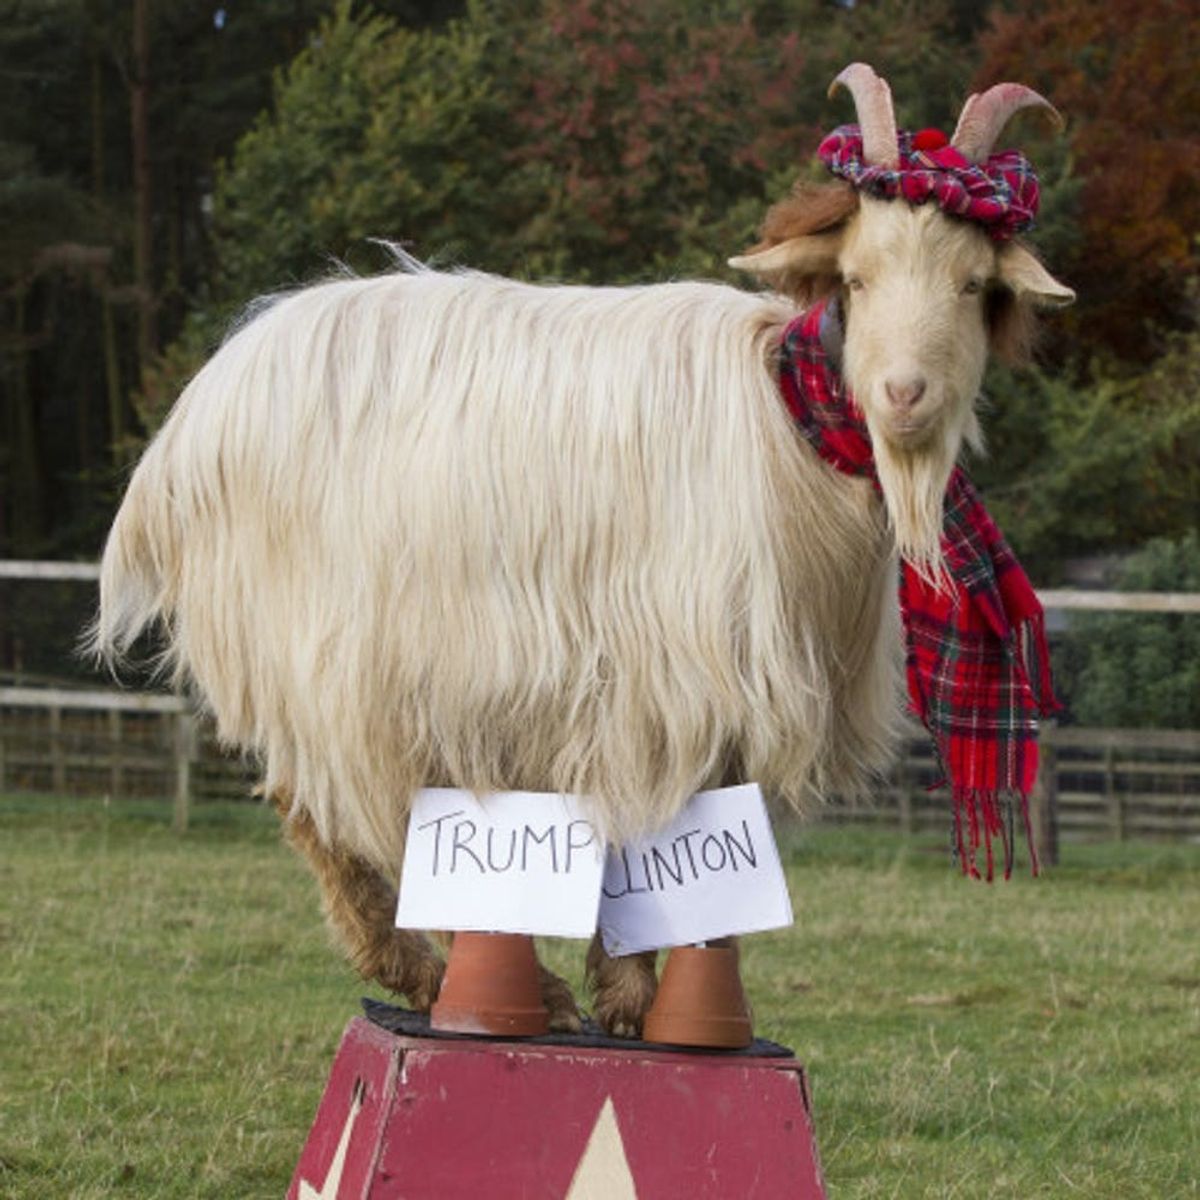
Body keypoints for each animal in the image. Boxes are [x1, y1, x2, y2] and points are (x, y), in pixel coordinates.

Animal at [93, 65, 1073, 1035]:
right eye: (857, 279)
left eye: (972, 285)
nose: (905, 394)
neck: (794, 422)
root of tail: (190, 427)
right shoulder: (672, 667)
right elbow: (656, 828)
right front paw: (633, 998)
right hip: (329, 648)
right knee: (332, 813)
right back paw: (457, 982)